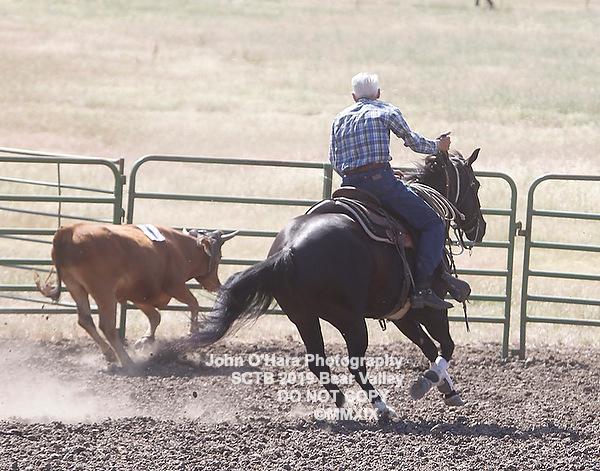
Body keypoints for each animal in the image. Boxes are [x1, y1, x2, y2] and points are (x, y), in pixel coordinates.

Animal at [35, 223, 238, 369]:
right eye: (220, 257)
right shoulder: (175, 286)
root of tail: (68, 230)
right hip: (103, 291)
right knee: (107, 326)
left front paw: (146, 340)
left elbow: (155, 316)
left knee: (85, 319)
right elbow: (193, 303)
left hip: (75, 286)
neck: (179, 248)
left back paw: (109, 354)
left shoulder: (137, 296)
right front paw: (192, 332)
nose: (216, 285)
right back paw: (126, 360)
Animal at [189, 149, 486, 418]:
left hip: (304, 317)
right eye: (475, 184)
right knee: (355, 365)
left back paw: (343, 404)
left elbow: (428, 347)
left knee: (318, 363)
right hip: (350, 319)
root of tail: (290, 249)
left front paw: (448, 390)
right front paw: (427, 382)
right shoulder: (430, 309)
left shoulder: (402, 314)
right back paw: (383, 408)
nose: (480, 228)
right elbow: (446, 346)